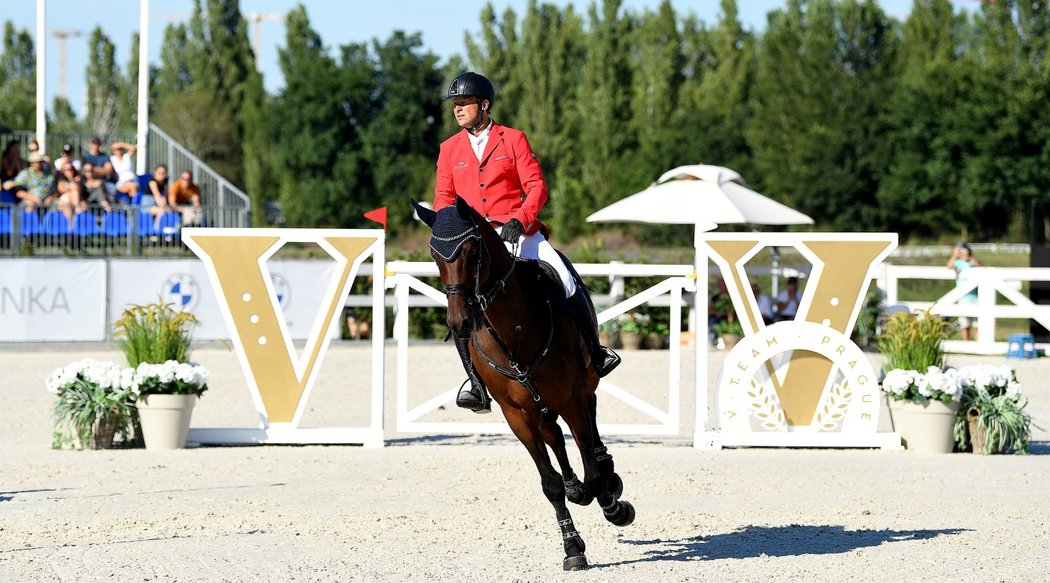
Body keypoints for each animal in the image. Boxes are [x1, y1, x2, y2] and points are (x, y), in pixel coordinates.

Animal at [411, 198, 634, 571]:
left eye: (472, 251)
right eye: (434, 255)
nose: (459, 322)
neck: (512, 330)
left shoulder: (572, 399)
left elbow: (591, 466)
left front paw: (613, 505)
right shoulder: (516, 414)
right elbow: (550, 484)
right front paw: (572, 547)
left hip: (579, 389)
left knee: (590, 432)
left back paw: (607, 477)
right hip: (538, 405)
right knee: (555, 437)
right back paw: (577, 489)